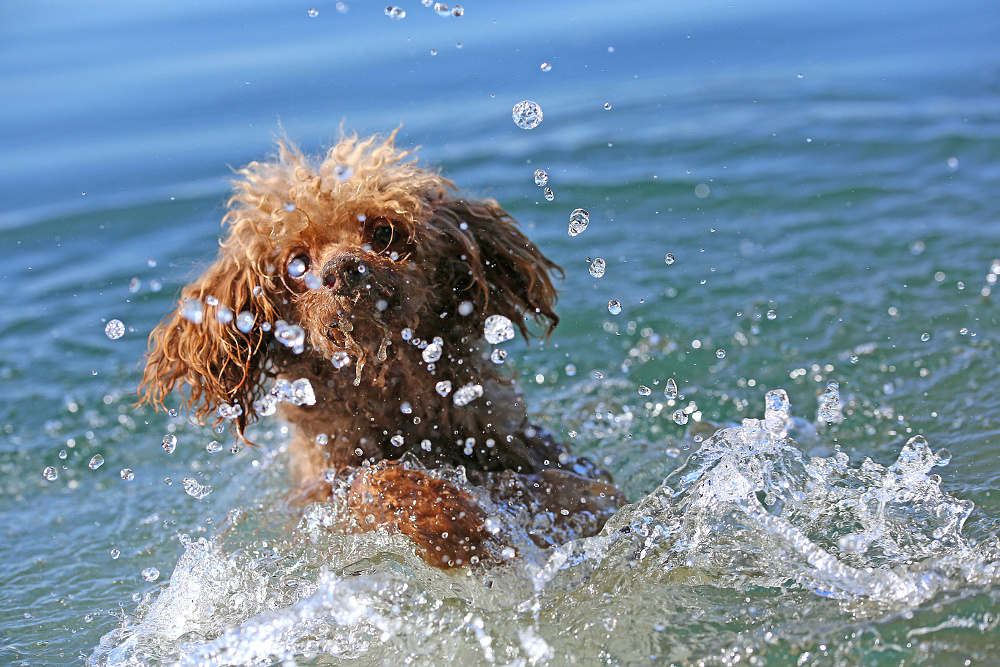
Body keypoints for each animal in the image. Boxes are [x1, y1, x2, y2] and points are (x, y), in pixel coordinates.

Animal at [139, 132, 624, 568]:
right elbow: (375, 483)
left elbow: (574, 491)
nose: (344, 268)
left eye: (384, 232)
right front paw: (452, 522)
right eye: (296, 264)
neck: (397, 404)